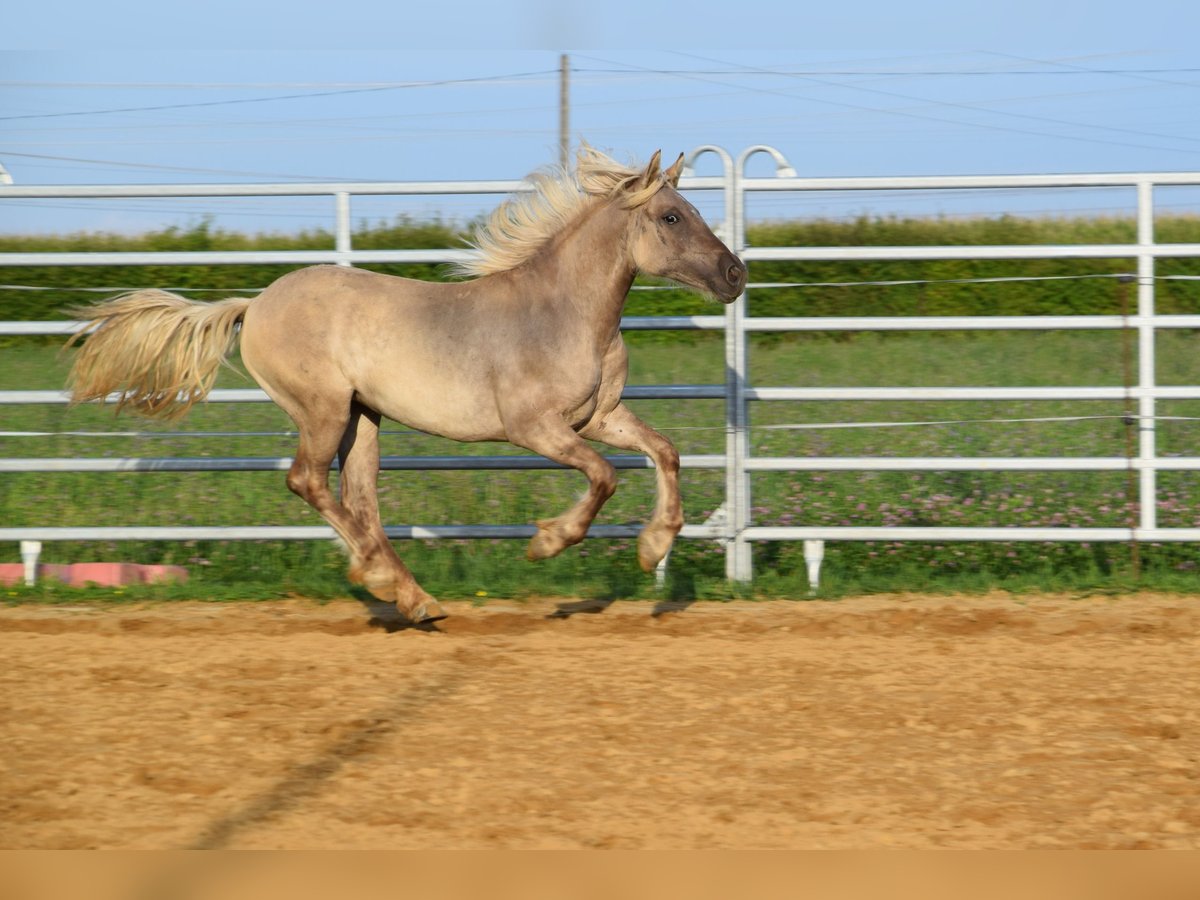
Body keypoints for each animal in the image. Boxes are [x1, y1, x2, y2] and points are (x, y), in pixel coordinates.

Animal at [65, 150, 744, 628]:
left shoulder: (597, 418)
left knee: (359, 501)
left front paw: (652, 550)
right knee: (308, 482)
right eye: (672, 216)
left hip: (363, 419)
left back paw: (412, 596)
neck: (563, 312)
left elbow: (664, 451)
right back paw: (387, 583)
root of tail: (253, 305)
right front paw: (546, 543)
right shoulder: (534, 428)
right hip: (322, 410)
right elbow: (604, 476)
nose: (735, 274)